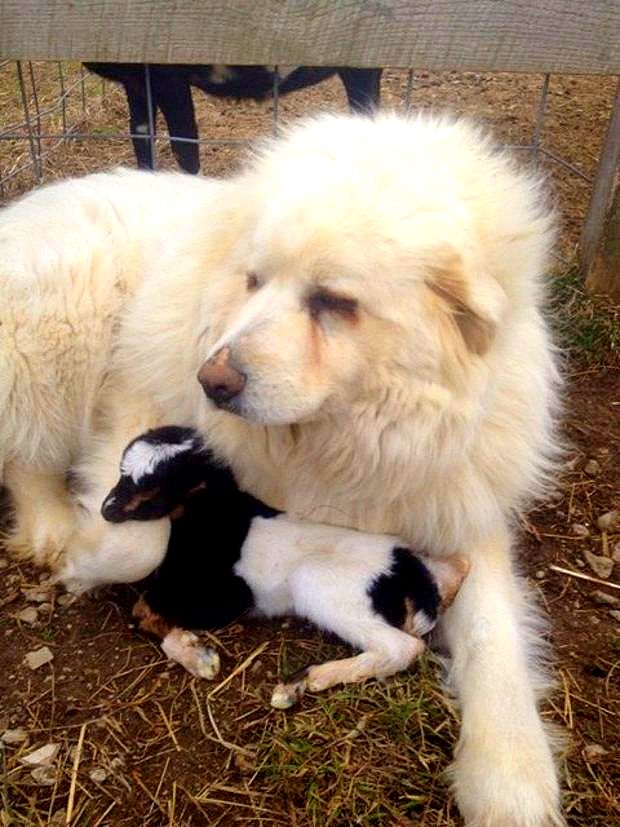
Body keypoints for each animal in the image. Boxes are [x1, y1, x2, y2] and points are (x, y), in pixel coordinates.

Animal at [103, 430, 470, 708]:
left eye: (153, 490)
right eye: (121, 472)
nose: (107, 510)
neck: (214, 512)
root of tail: (411, 578)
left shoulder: (224, 597)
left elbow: (142, 609)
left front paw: (201, 659)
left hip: (319, 586)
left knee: (403, 647)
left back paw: (305, 681)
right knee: (459, 565)